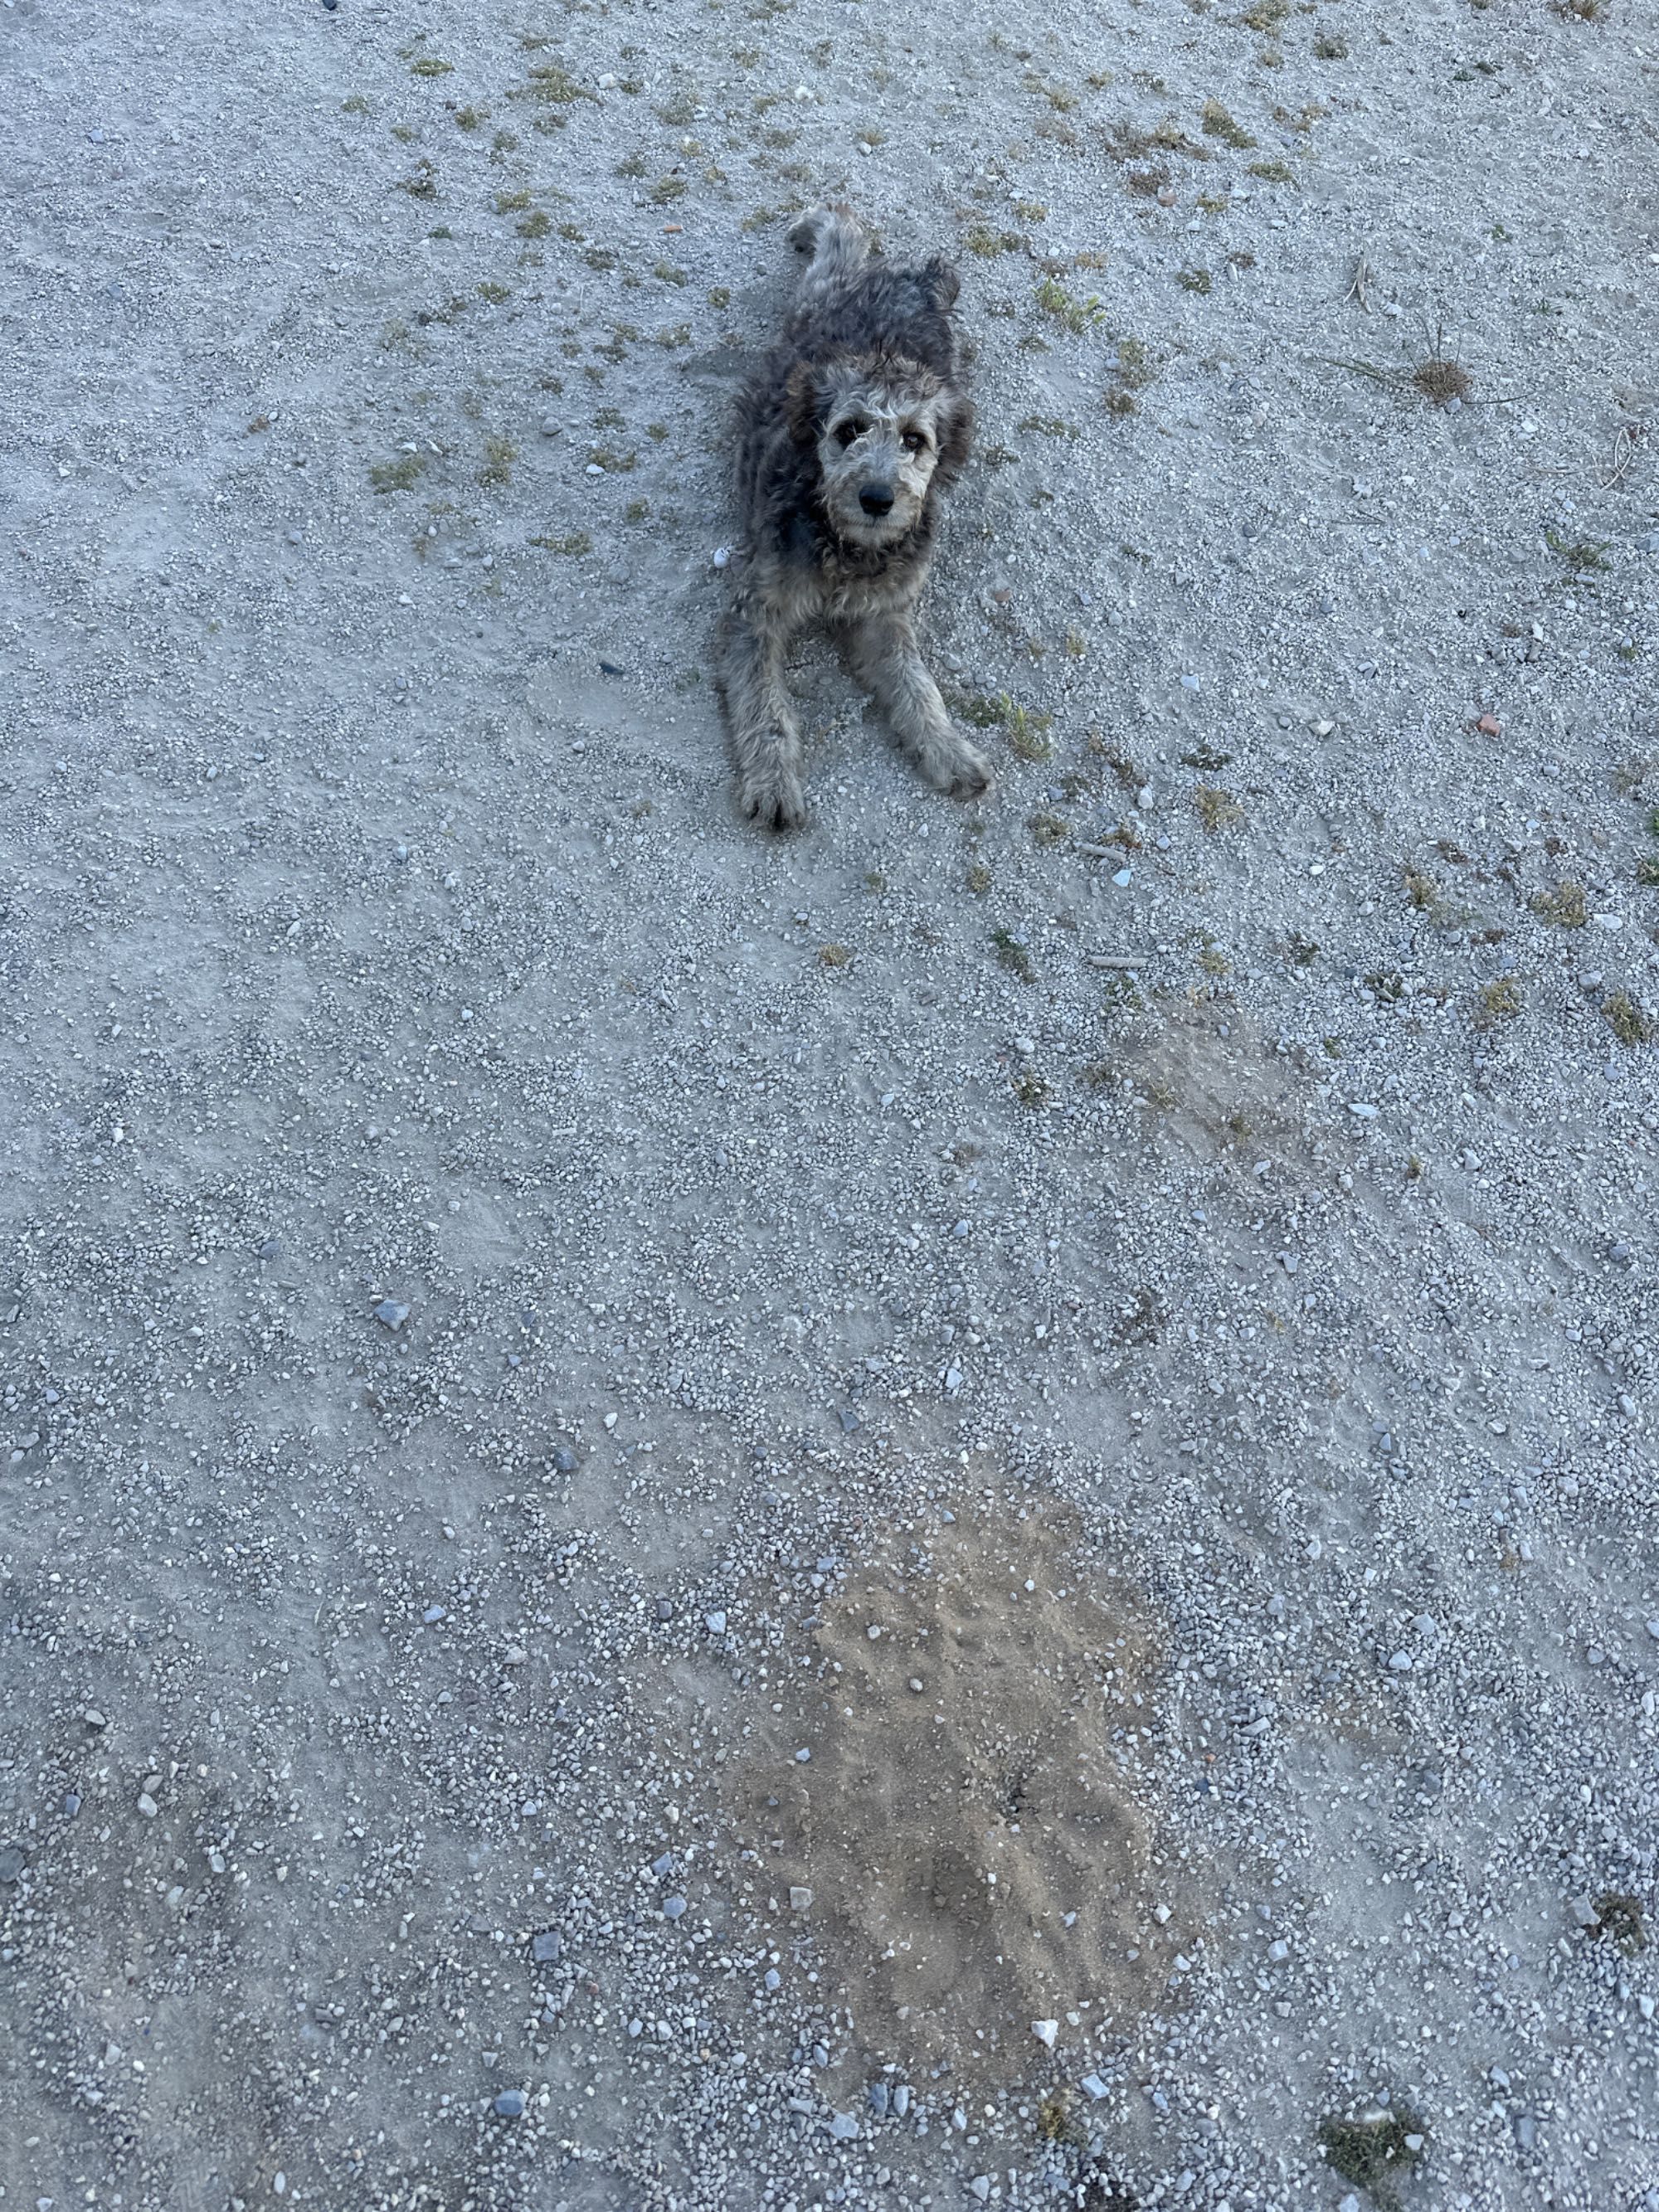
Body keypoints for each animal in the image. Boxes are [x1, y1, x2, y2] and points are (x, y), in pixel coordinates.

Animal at [712, 206, 995, 831]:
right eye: (848, 431)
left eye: (915, 440)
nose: (877, 497)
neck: (848, 550)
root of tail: (915, 279)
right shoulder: (756, 609)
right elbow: (764, 702)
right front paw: (774, 781)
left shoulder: (886, 615)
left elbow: (918, 684)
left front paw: (948, 749)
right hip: (818, 291)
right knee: (842, 231)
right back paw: (812, 224)